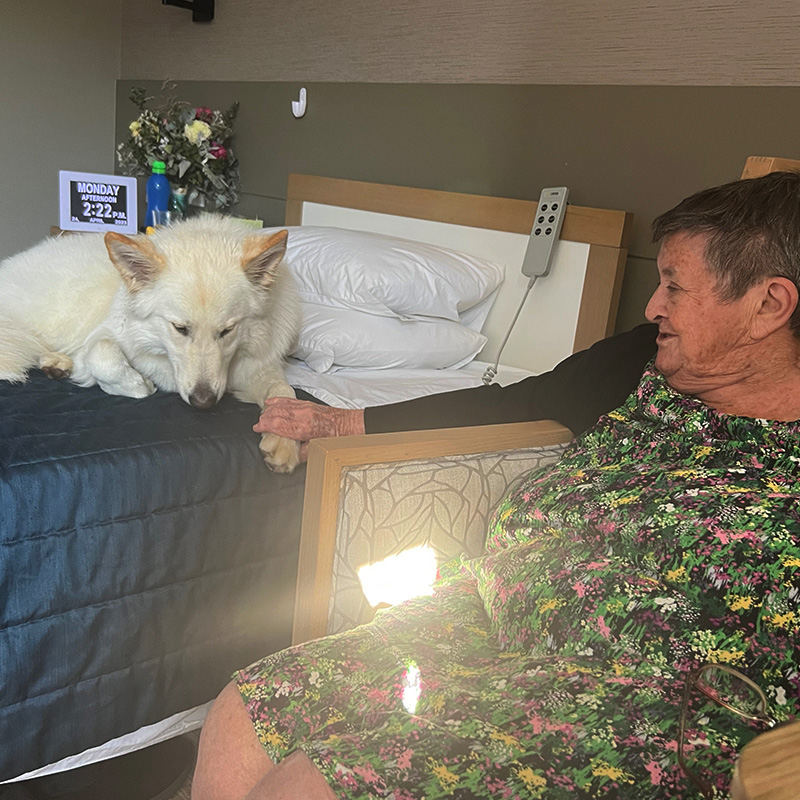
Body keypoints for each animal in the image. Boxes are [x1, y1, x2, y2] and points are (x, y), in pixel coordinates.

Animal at [0, 216, 300, 472]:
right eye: (180, 328)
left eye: (227, 330)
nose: (203, 403)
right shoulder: (104, 335)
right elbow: (103, 357)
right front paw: (137, 384)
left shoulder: (258, 366)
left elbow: (283, 392)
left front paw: (285, 435)